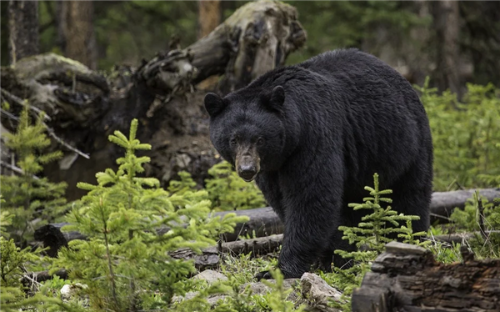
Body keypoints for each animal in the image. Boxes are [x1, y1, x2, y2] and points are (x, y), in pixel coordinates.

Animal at [205, 48, 432, 278]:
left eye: (260, 139)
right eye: (233, 139)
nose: (247, 170)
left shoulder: (313, 137)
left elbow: (311, 198)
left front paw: (280, 269)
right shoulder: (272, 169)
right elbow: (283, 200)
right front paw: (329, 257)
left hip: (406, 146)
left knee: (409, 200)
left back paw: (408, 241)